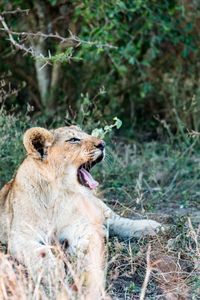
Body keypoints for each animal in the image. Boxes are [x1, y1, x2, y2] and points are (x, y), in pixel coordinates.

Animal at [0, 125, 162, 298]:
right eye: (73, 139)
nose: (103, 144)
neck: (58, 193)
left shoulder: (78, 228)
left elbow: (87, 247)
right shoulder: (21, 236)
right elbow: (40, 252)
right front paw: (53, 273)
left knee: (118, 221)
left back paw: (153, 227)